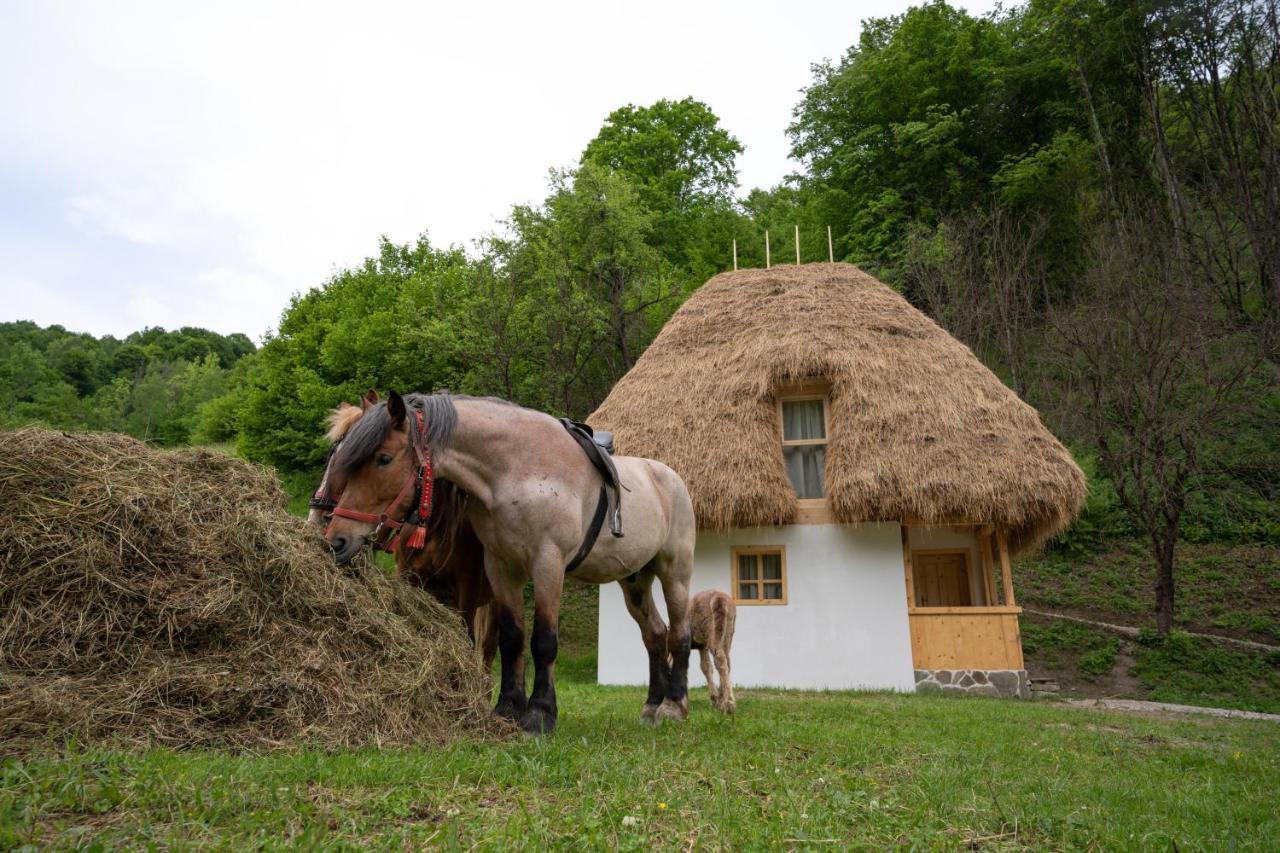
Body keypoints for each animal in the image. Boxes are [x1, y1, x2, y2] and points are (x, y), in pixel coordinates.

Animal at [309, 389, 499, 666]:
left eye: (382, 459)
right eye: (333, 455)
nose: (317, 519)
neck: (437, 530)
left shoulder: (468, 596)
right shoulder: (408, 577)